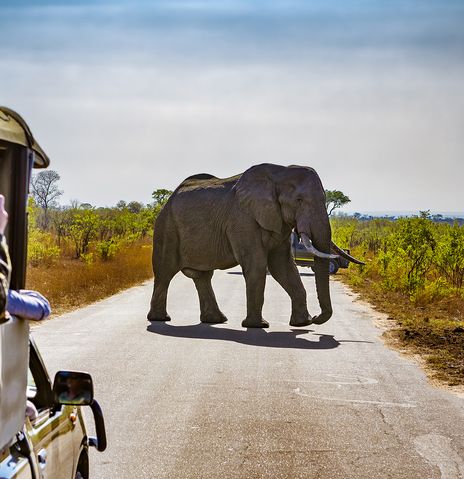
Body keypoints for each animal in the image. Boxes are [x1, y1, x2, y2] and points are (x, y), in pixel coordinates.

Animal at [147, 163, 364, 328]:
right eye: (299, 200)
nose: (318, 318)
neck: (279, 173)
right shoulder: (242, 219)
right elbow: (257, 265)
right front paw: (258, 326)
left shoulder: (278, 222)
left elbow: (283, 266)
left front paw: (302, 324)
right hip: (166, 228)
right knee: (165, 272)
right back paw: (160, 319)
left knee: (202, 277)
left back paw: (216, 320)